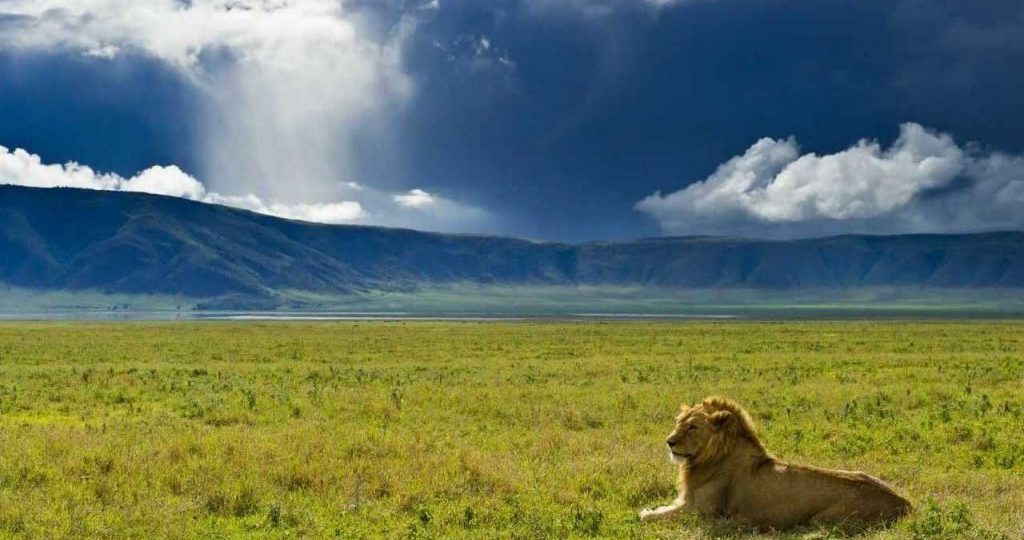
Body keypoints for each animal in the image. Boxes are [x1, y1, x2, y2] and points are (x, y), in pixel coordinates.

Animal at [638, 395, 913, 528]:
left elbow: (652, 516)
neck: (708, 457)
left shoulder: (703, 513)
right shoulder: (688, 503)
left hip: (822, 519)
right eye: (678, 423)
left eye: (693, 427)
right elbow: (664, 508)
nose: (669, 442)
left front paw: (645, 513)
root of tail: (904, 503)